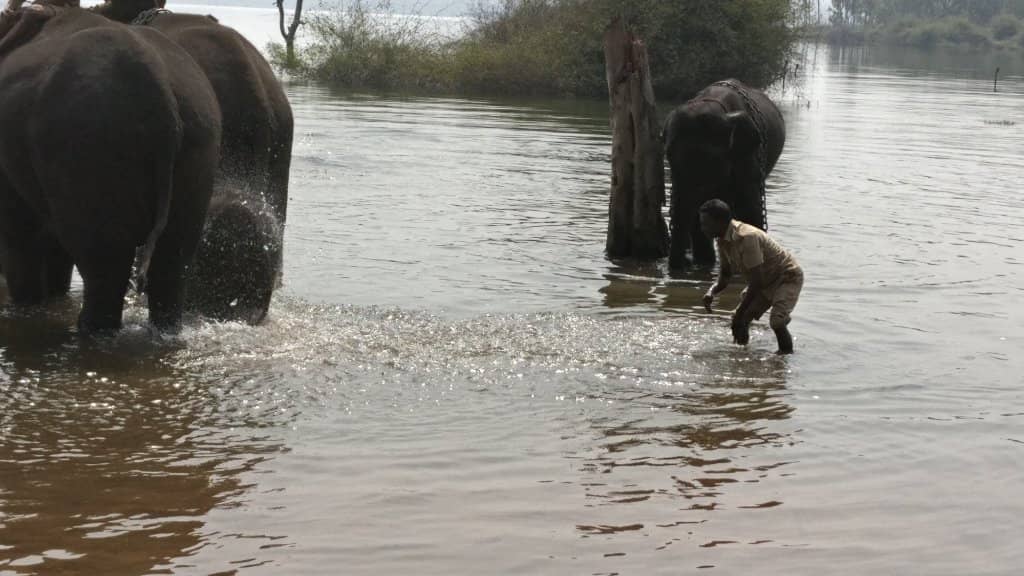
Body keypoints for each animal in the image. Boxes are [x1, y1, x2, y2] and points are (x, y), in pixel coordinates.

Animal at [0, 0, 221, 332]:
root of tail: (162, 92)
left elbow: (20, 236)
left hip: (90, 145)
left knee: (104, 270)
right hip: (200, 143)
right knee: (173, 265)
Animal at [662, 78, 785, 269]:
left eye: (711, 161)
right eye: (668, 157)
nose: (686, 262)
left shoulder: (748, 157)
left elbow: (750, 210)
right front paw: (704, 263)